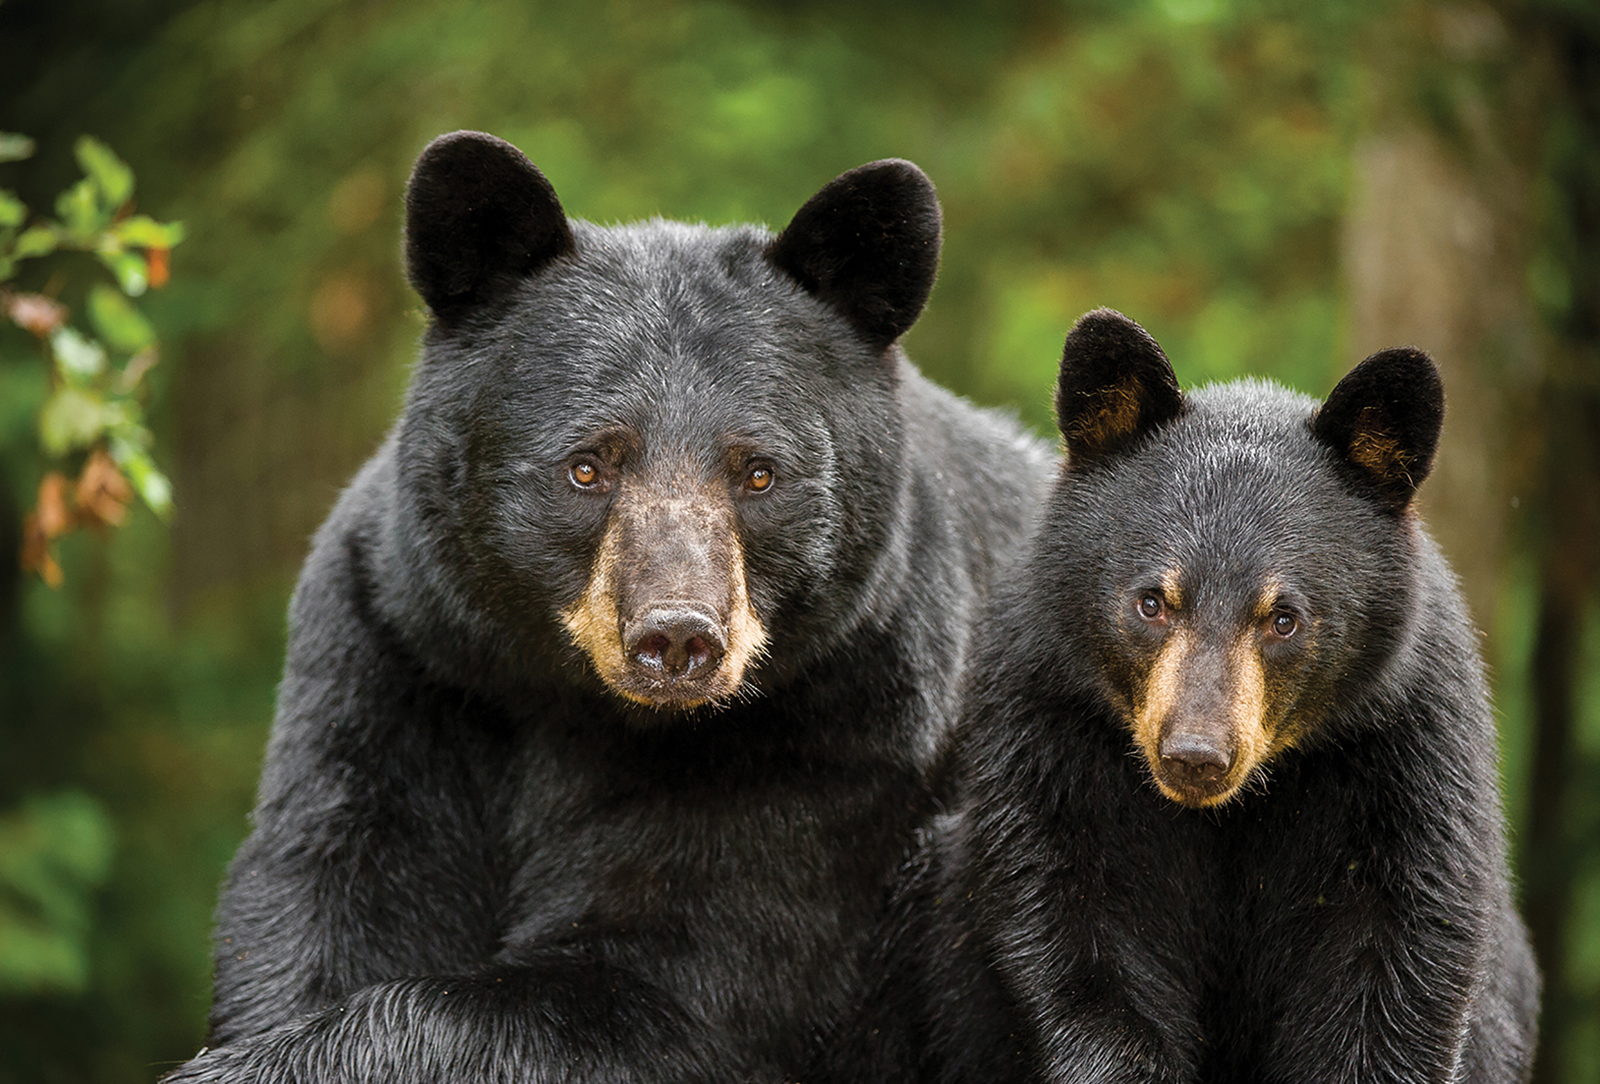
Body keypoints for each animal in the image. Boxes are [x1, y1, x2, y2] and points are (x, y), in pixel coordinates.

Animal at [168, 133, 1056, 1084]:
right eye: (587, 465)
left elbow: (672, 983)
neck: (579, 706)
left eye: (759, 472)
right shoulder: (403, 657)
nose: (678, 636)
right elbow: (335, 889)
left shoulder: (839, 728)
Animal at [825, 308, 1536, 1084]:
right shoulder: (1055, 731)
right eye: (1152, 601)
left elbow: (1392, 962)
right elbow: (1081, 937)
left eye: (1283, 618)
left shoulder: (1399, 753)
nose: (1196, 754)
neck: (1228, 812)